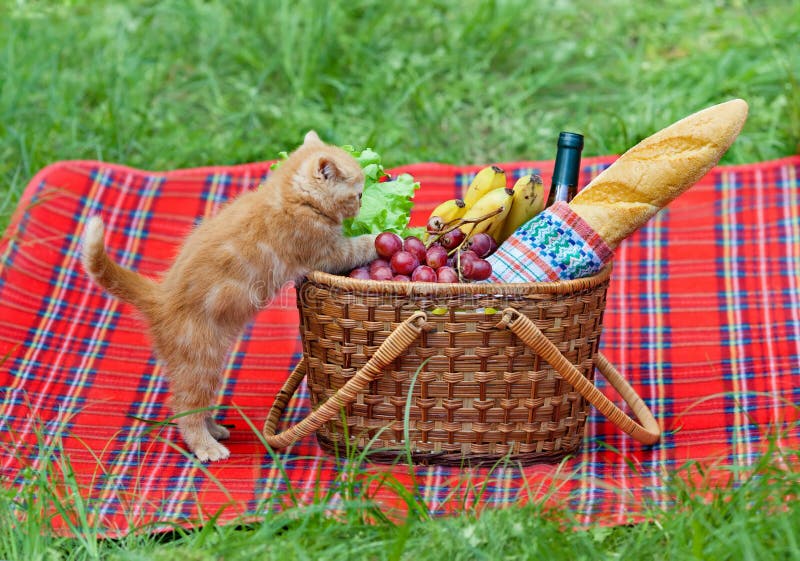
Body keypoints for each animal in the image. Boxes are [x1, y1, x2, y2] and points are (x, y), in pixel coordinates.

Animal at [81, 131, 378, 460]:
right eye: (358, 194)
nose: (360, 207)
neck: (289, 195)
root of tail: (160, 298)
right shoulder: (325, 252)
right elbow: (357, 246)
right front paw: (381, 237)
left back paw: (215, 429)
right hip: (202, 362)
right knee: (185, 408)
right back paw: (206, 446)